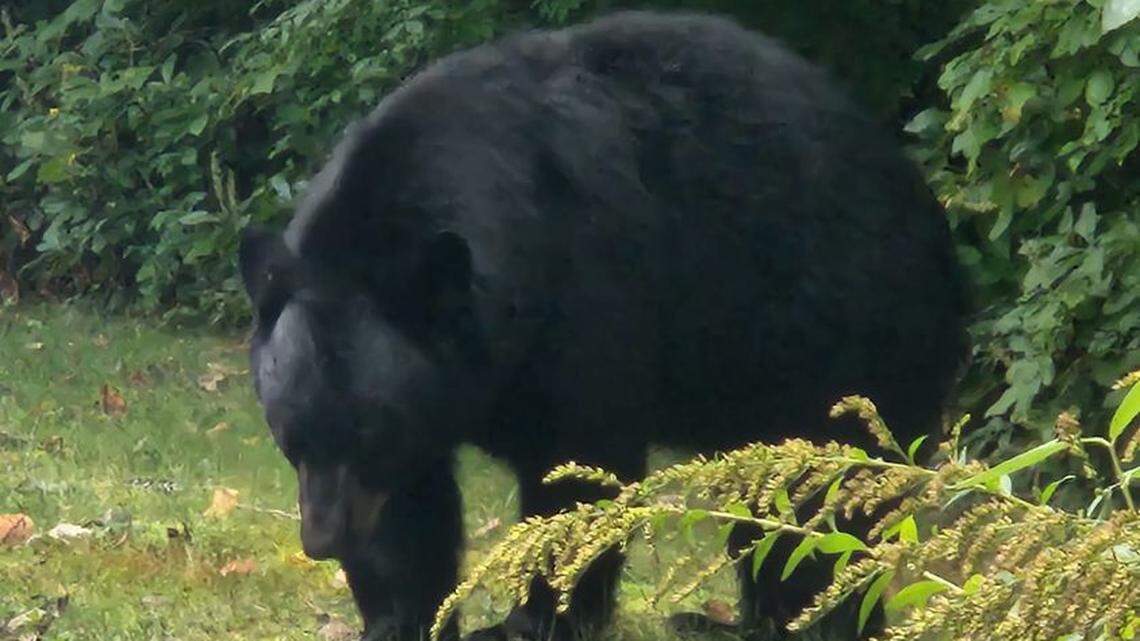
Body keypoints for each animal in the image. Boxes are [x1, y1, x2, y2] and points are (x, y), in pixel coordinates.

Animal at [237, 10, 967, 641]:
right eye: (288, 436)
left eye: (369, 432)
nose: (323, 539)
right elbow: (408, 508)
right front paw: (400, 616)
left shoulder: (585, 299)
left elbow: (577, 468)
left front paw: (532, 620)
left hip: (844, 338)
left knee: (823, 498)